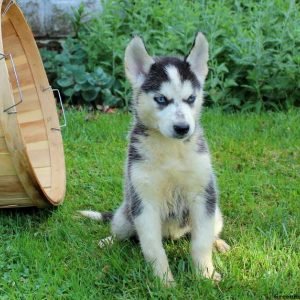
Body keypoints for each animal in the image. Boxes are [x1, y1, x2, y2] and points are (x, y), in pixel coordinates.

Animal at [79, 32, 230, 286]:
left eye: (191, 98)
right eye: (161, 99)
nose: (182, 128)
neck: (172, 151)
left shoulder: (203, 195)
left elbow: (200, 243)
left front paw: (205, 275)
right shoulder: (144, 202)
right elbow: (152, 248)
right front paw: (164, 282)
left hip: (216, 213)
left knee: (208, 232)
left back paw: (218, 243)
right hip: (125, 215)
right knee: (122, 233)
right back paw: (108, 242)